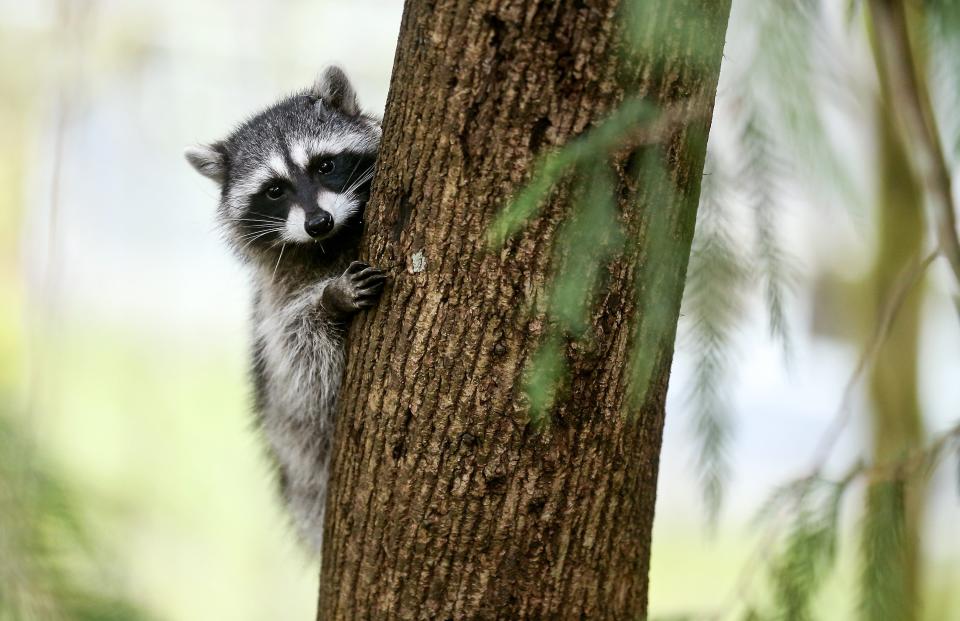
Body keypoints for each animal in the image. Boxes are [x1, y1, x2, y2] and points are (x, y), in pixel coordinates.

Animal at [186, 68, 384, 552]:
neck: (331, 242)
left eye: (325, 165)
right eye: (274, 190)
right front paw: (330, 300)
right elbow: (304, 369)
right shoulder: (274, 303)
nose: (318, 222)